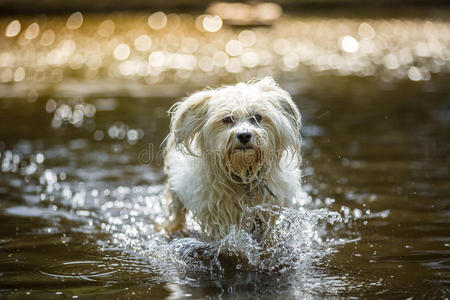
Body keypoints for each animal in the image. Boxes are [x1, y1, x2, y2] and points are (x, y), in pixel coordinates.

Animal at [162, 77, 302, 241]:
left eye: (257, 117)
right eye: (227, 119)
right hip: (176, 193)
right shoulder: (219, 216)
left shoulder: (267, 211)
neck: (244, 176)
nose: (244, 135)